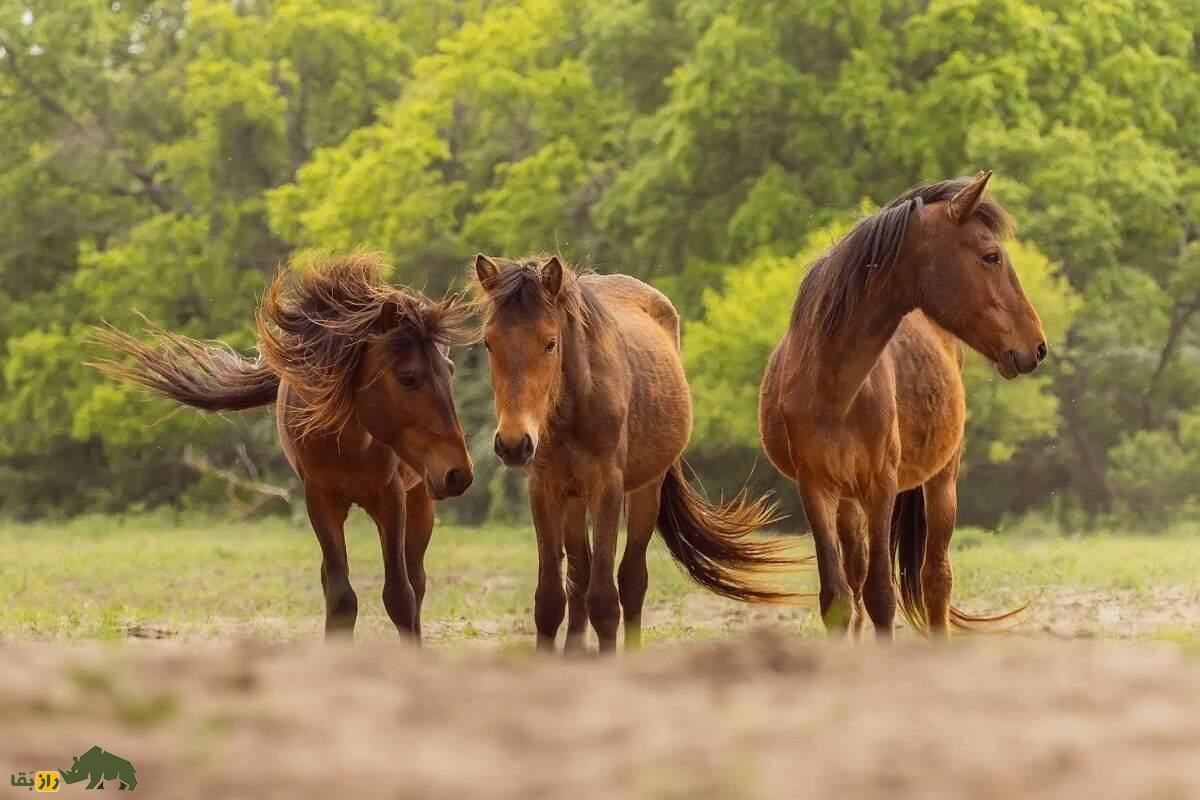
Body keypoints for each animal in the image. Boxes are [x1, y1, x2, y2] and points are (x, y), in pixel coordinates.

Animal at [91, 253, 472, 642]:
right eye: (408, 378)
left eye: (450, 370)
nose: (458, 473)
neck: (348, 440)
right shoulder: (320, 499)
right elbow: (341, 597)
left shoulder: (391, 497)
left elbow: (400, 596)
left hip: (420, 497)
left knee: (417, 580)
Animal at [470, 253, 796, 652]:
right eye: (488, 343)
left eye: (550, 343)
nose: (514, 443)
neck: (573, 407)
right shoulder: (544, 490)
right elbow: (549, 600)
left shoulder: (607, 488)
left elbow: (605, 600)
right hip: (574, 500)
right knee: (579, 577)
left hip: (645, 492)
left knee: (631, 581)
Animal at [763, 172, 1046, 642]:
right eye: (991, 256)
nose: (1037, 347)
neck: (833, 386)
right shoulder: (815, 488)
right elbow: (838, 598)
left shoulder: (882, 485)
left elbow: (881, 594)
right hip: (848, 500)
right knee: (857, 574)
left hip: (941, 482)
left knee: (936, 579)